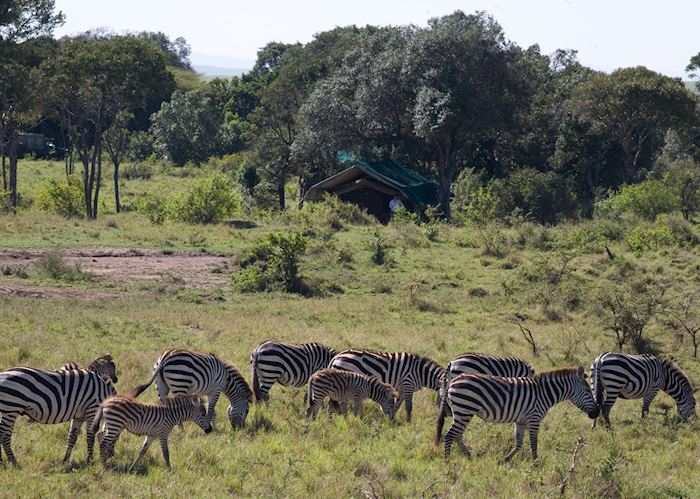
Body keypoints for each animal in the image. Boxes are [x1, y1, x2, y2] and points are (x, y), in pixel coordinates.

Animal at [434, 368, 600, 460]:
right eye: (587, 391)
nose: (597, 412)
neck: (544, 393)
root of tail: (453, 381)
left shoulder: (521, 421)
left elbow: (519, 444)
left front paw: (505, 460)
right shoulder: (534, 418)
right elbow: (533, 443)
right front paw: (536, 462)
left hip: (462, 412)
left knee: (457, 435)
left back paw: (468, 456)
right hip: (465, 410)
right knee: (450, 435)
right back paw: (448, 461)